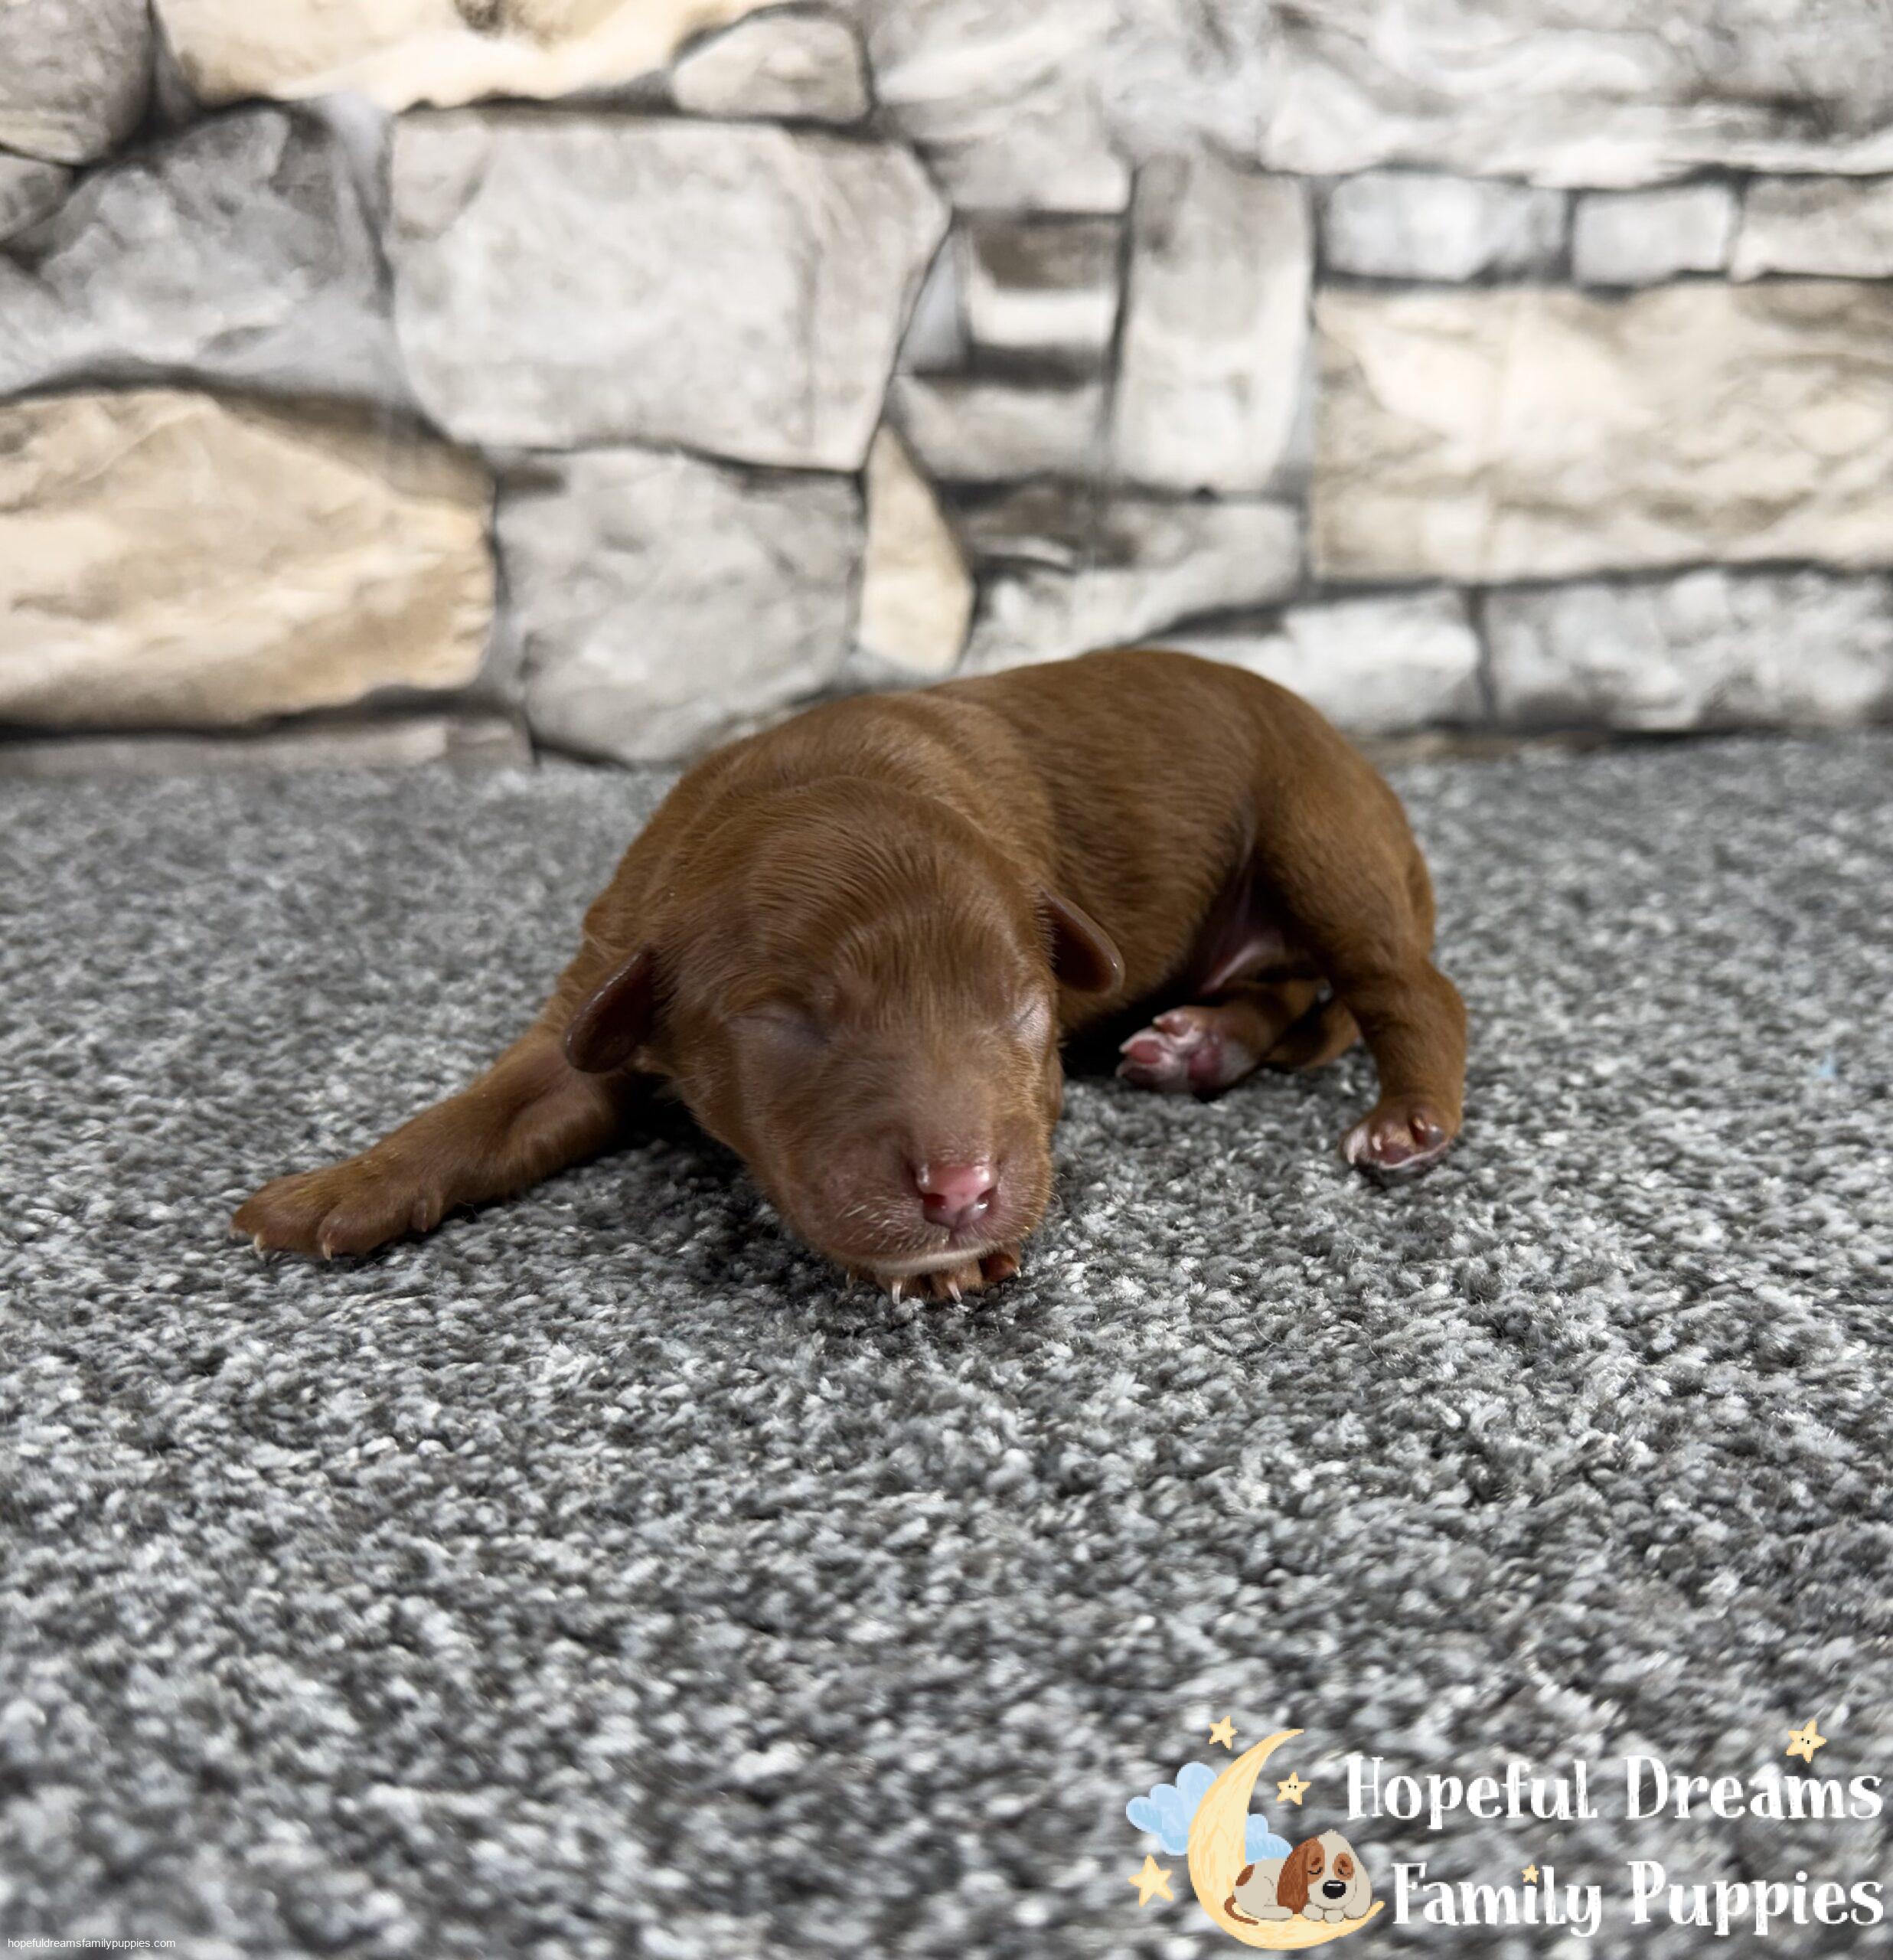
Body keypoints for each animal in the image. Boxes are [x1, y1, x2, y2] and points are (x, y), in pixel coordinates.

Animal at [234, 648, 1466, 1297]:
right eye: (789, 1023)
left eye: (1027, 1009)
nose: (961, 1192)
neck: (819, 785)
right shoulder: (600, 991)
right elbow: (487, 1109)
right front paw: (341, 1186)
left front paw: (956, 1257)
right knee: (1289, 994)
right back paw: (1201, 1041)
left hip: (1315, 828)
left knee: (1406, 988)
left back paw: (1407, 1118)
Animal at [1228, 1831, 1373, 1925]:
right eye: (1314, 1870)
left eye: (1344, 1870)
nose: (1334, 1888)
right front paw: (1315, 1911)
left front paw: (1334, 1913)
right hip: (1263, 1884)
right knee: (1253, 1907)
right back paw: (1281, 1912)